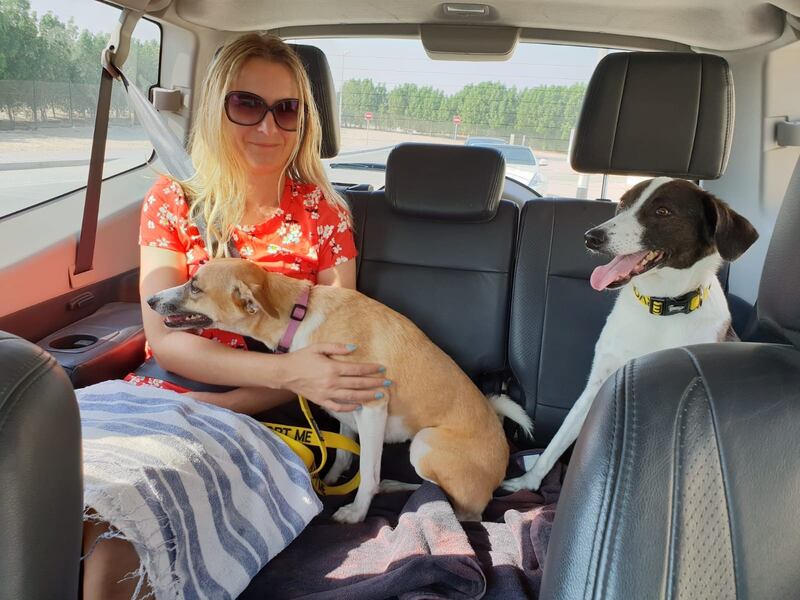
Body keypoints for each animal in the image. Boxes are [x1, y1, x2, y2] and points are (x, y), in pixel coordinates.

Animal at [148, 260, 532, 524]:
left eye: (195, 287)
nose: (150, 299)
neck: (299, 316)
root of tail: (501, 469)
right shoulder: (345, 404)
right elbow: (346, 454)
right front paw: (331, 480)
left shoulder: (373, 407)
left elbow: (368, 473)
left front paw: (356, 512)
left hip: (425, 445)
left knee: (458, 507)